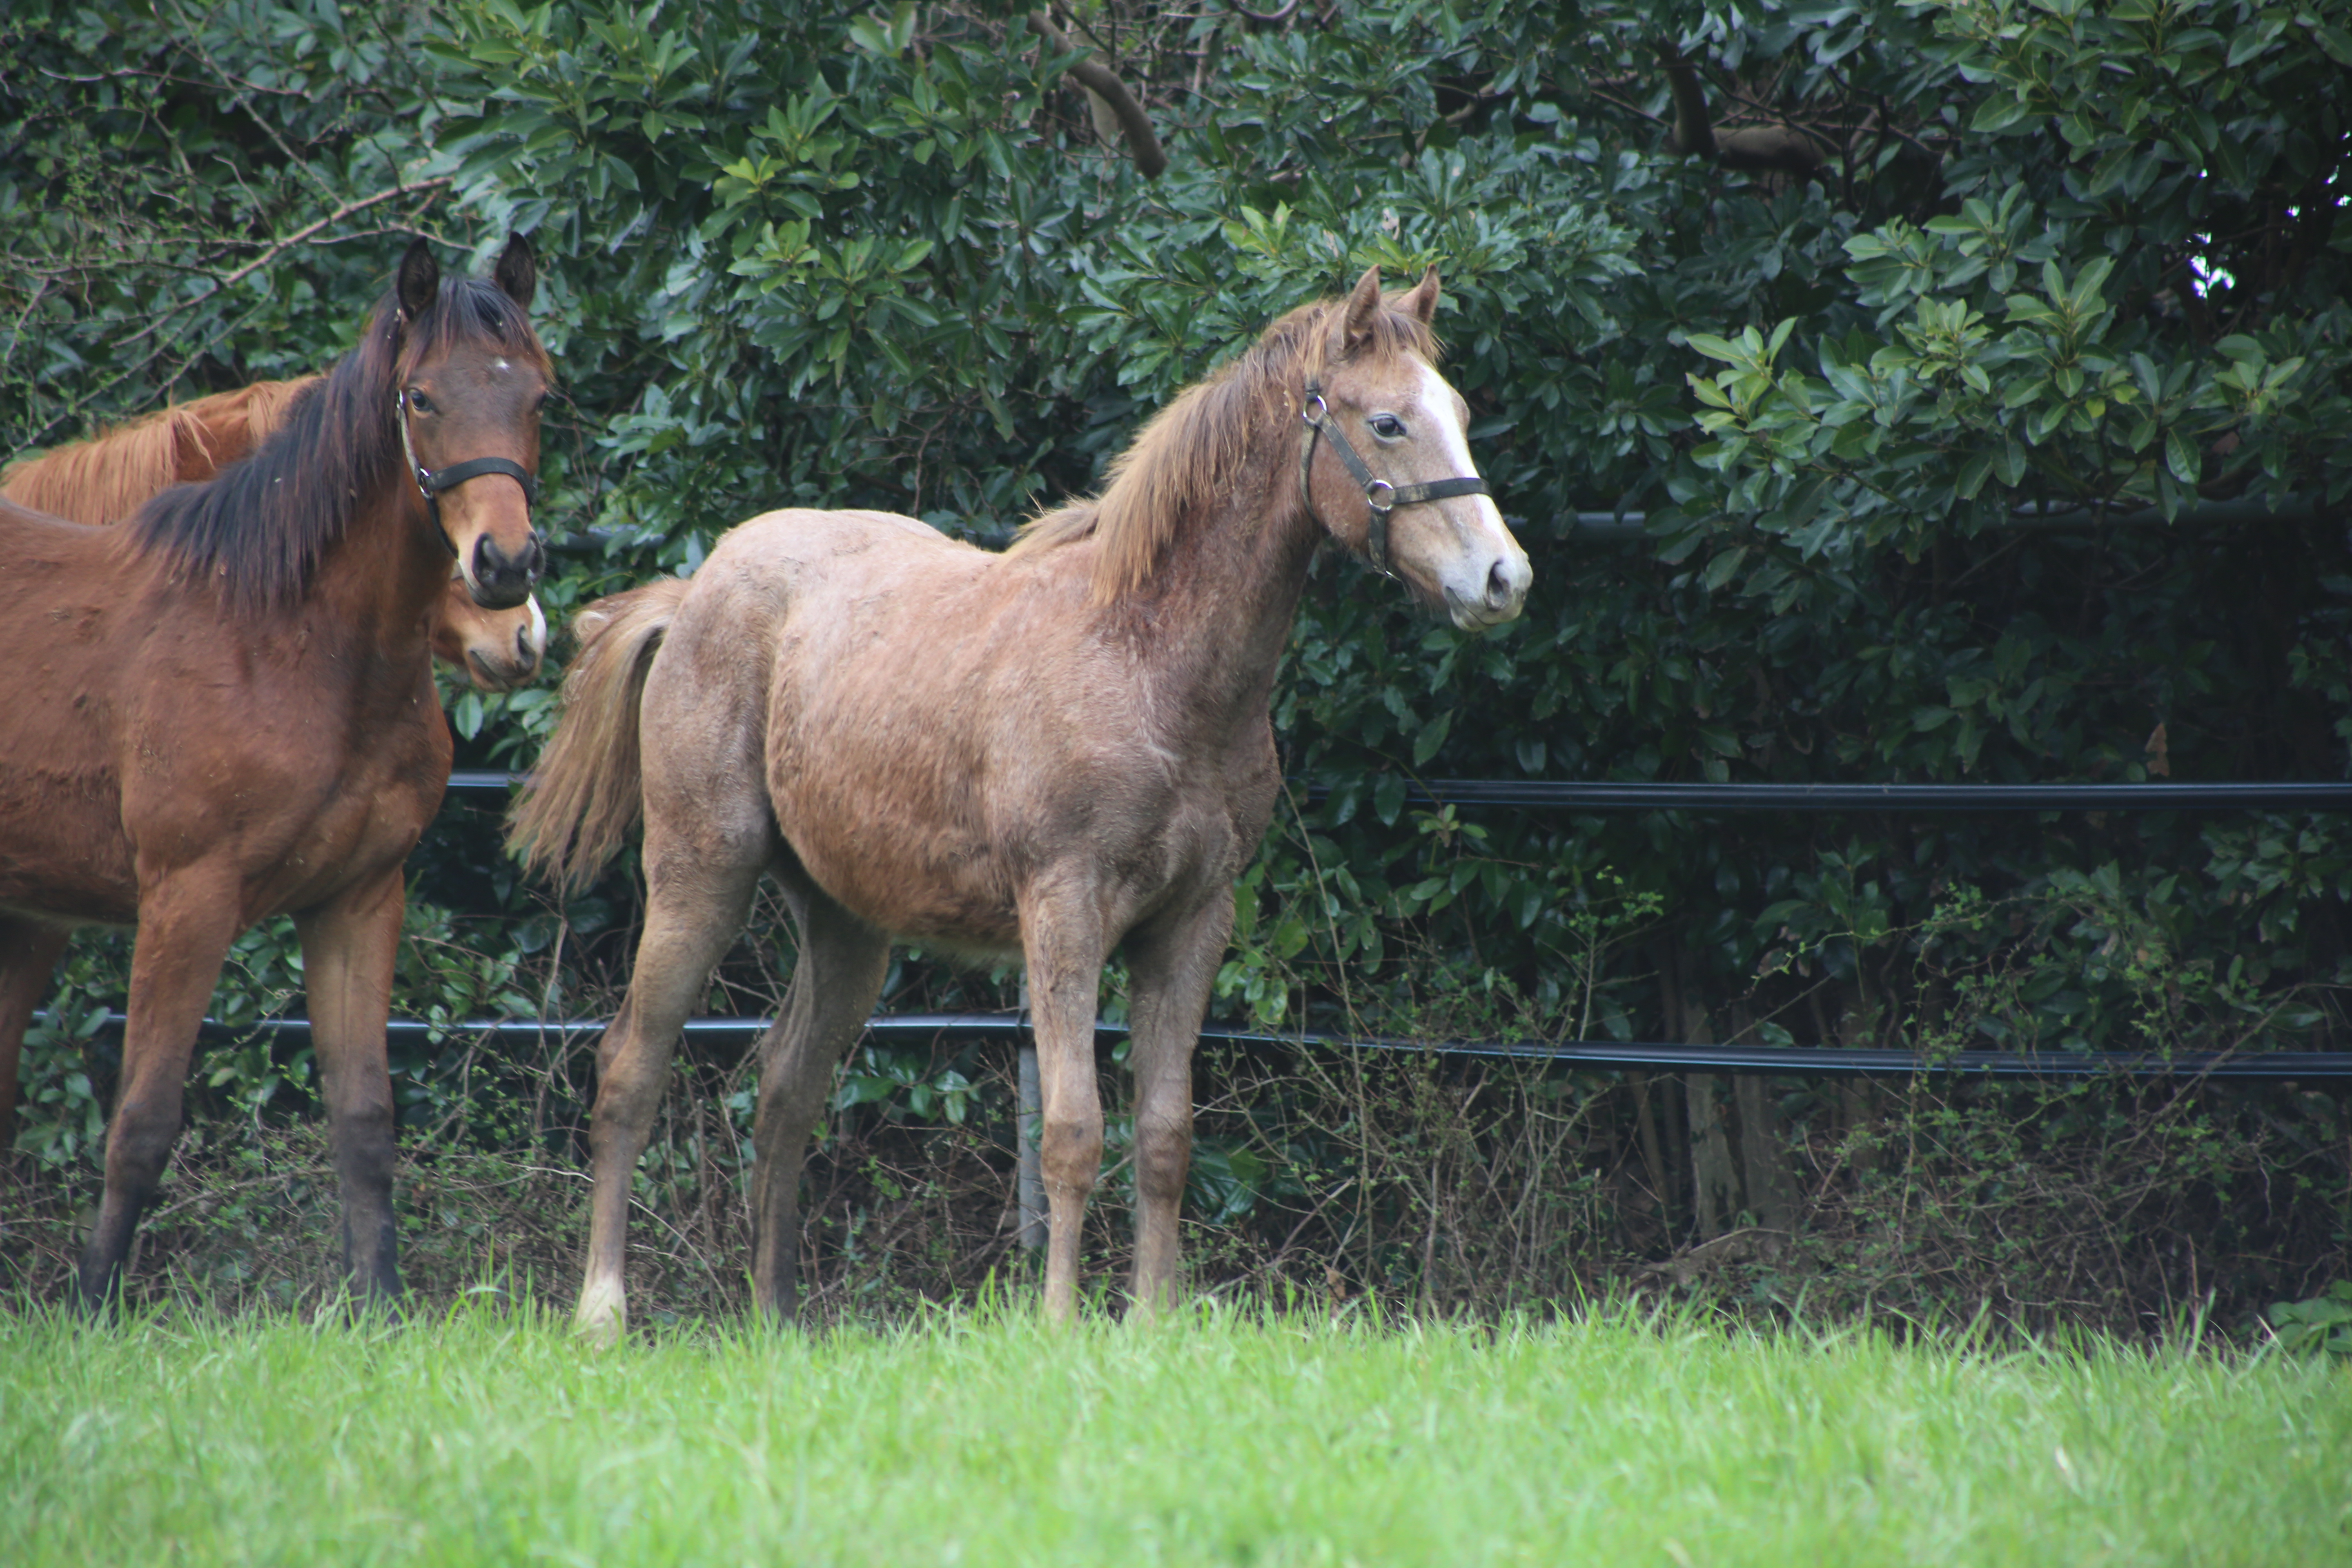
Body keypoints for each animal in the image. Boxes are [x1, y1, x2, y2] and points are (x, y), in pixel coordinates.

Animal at [512, 267, 1533, 1335]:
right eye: (1386, 423)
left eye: (1459, 413)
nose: (1503, 578)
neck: (1150, 662)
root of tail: (694, 592)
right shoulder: (1065, 908)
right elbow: (1074, 1131)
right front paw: (1057, 1326)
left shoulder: (1193, 923)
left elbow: (1164, 1137)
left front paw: (1151, 1325)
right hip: (699, 874)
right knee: (631, 1067)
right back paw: (602, 1313)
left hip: (844, 924)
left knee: (786, 1090)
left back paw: (776, 1318)